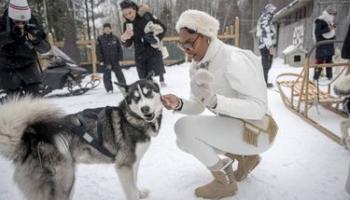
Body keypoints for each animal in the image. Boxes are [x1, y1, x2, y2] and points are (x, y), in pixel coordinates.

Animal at [0, 77, 163, 200]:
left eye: (148, 93)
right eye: (136, 98)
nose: (145, 109)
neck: (131, 119)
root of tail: (29, 139)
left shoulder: (133, 163)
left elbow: (134, 183)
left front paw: (140, 193)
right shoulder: (124, 166)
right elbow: (131, 191)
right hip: (65, 182)